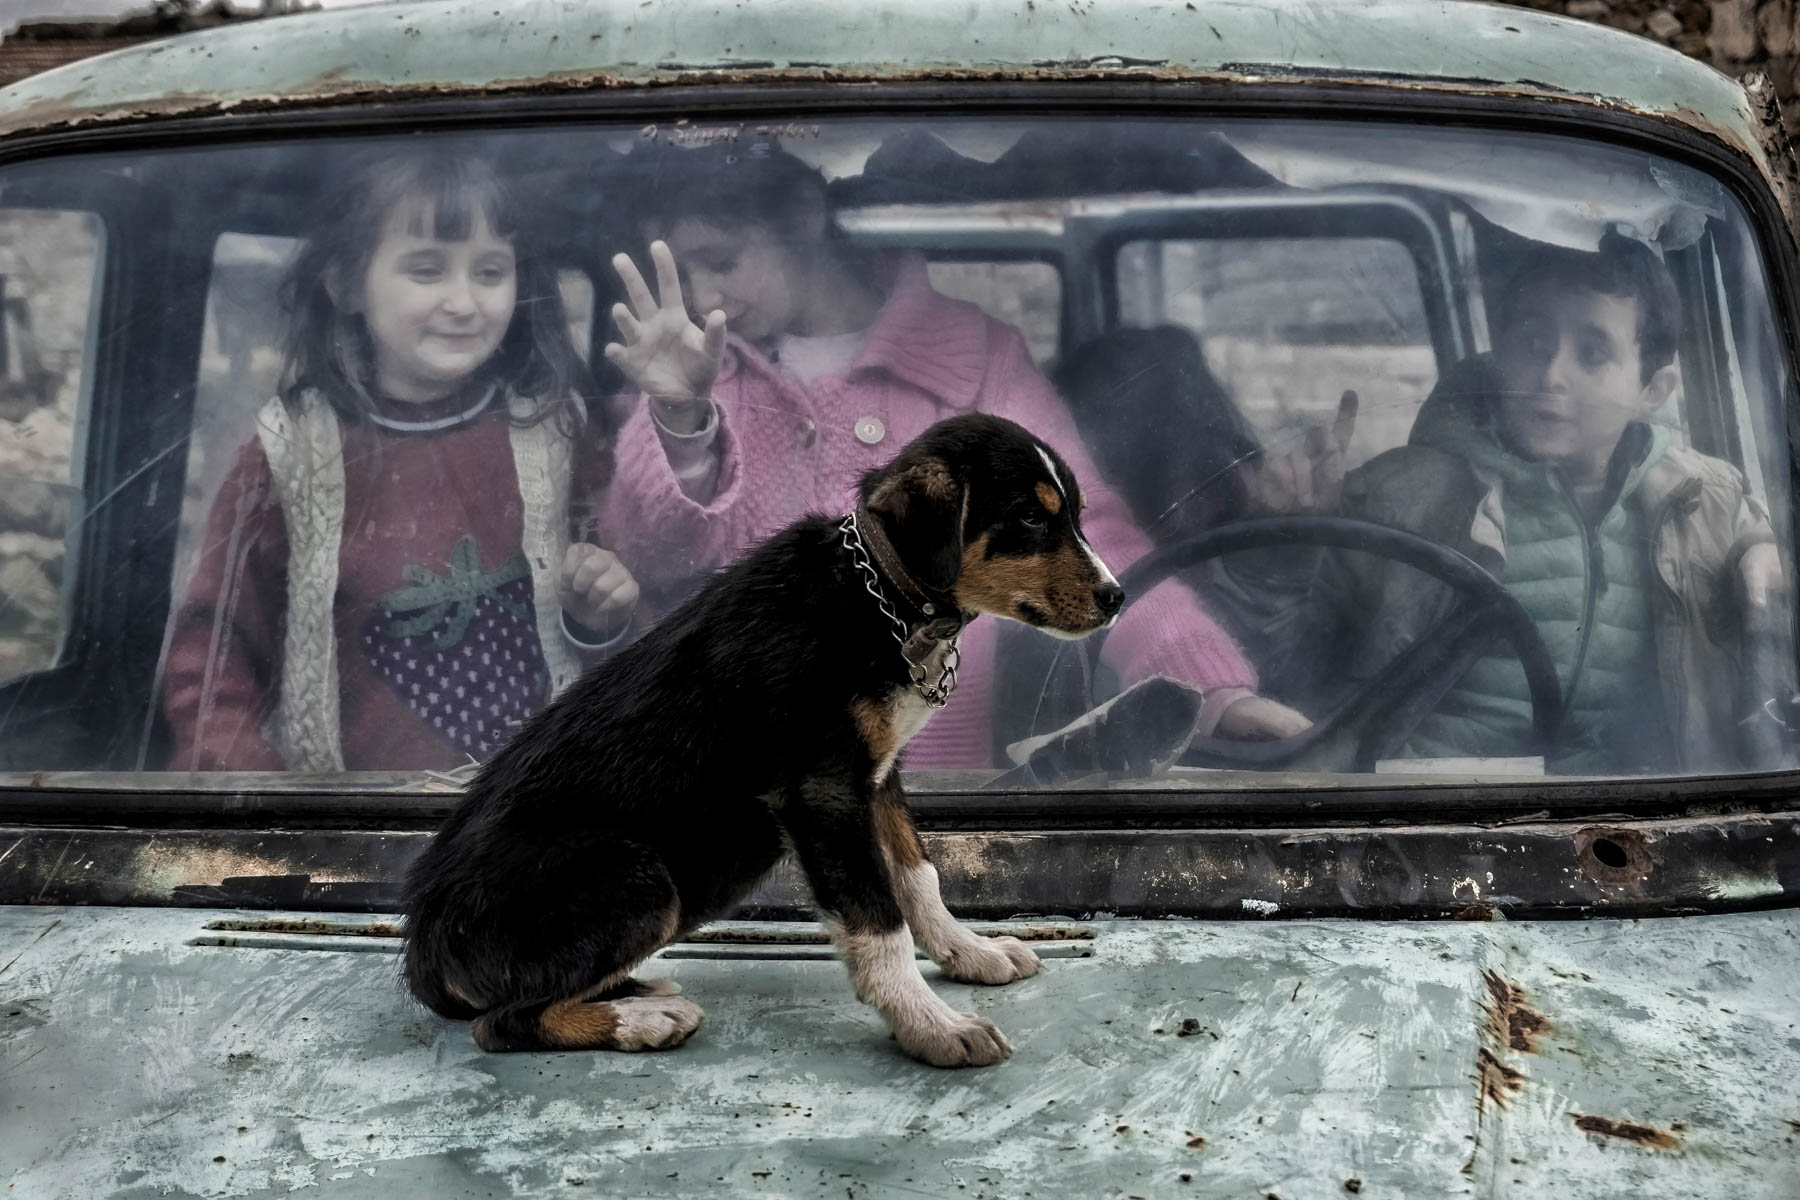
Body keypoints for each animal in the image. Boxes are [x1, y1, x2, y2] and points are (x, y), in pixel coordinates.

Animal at [401, 415, 1116, 1072]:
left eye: (1076, 516)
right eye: (1029, 517)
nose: (1117, 597)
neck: (877, 594)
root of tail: (425, 945)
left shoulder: (877, 778)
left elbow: (919, 876)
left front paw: (971, 953)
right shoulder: (823, 791)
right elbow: (878, 920)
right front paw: (933, 1027)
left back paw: (640, 993)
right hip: (639, 879)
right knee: (500, 1023)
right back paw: (642, 1021)